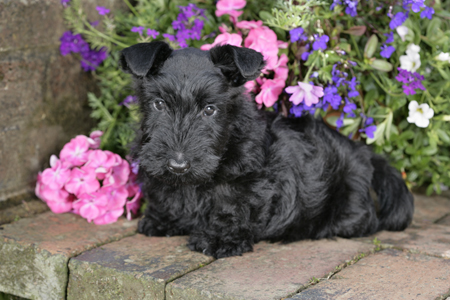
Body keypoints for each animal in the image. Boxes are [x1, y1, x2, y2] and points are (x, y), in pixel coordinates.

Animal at [120, 41, 414, 258]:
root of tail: (363, 152)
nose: (178, 166)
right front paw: (162, 219)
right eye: (159, 104)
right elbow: (167, 194)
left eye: (209, 109)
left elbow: (233, 204)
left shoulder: (250, 180)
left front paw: (219, 239)